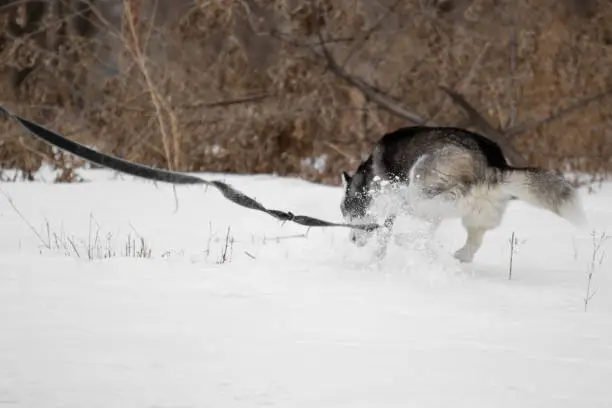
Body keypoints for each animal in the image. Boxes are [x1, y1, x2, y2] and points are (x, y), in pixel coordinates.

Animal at [342, 126, 584, 262]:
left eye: (352, 213)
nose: (351, 240)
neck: (371, 178)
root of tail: (491, 165)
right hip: (478, 215)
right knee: (469, 243)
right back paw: (457, 255)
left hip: (420, 185)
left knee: (422, 215)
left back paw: (407, 238)